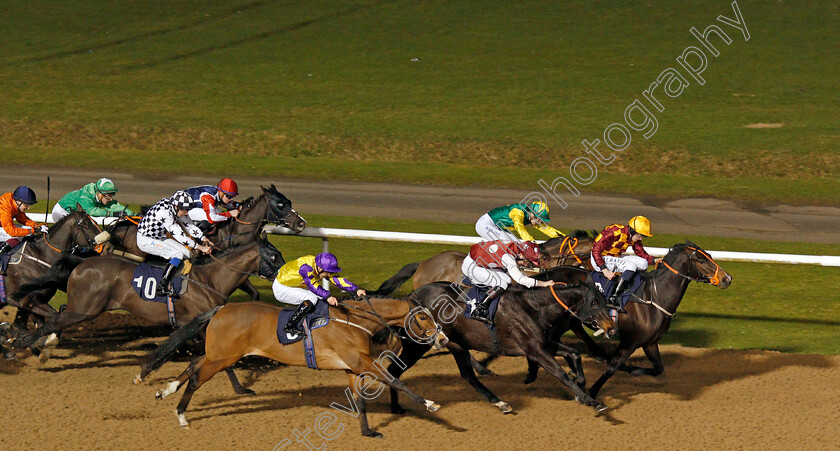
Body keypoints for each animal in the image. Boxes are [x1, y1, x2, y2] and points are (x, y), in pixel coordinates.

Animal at [144, 296, 450, 438]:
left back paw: (166, 390)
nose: (443, 339)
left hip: (219, 354)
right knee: (197, 379)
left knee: (194, 363)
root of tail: (220, 308)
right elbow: (395, 381)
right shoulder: (361, 361)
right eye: (423, 317)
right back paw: (181, 415)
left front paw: (368, 432)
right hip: (223, 357)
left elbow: (360, 402)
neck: (354, 321)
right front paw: (431, 404)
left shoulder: (352, 368)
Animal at [388, 278, 616, 416]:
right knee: (392, 370)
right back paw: (398, 406)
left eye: (604, 299)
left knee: (468, 376)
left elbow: (574, 354)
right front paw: (591, 400)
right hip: (418, 345)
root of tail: (410, 296)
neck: (535, 307)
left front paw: (581, 388)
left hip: (455, 343)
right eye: (594, 302)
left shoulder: (544, 345)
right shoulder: (536, 350)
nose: (612, 328)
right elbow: (562, 375)